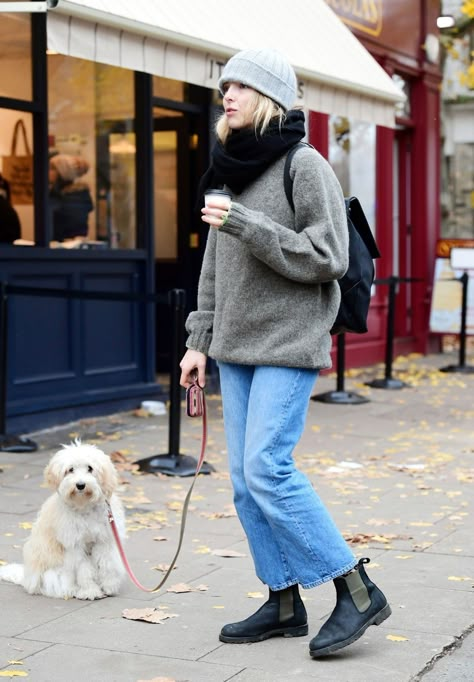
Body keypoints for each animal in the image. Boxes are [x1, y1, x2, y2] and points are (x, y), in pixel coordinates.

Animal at [0, 440, 126, 596]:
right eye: (70, 469)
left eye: (90, 468)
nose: (80, 485)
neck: (84, 506)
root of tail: (27, 579)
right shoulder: (75, 544)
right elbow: (84, 569)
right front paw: (89, 590)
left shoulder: (104, 540)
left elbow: (107, 564)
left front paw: (109, 586)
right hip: (53, 573)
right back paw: (72, 590)